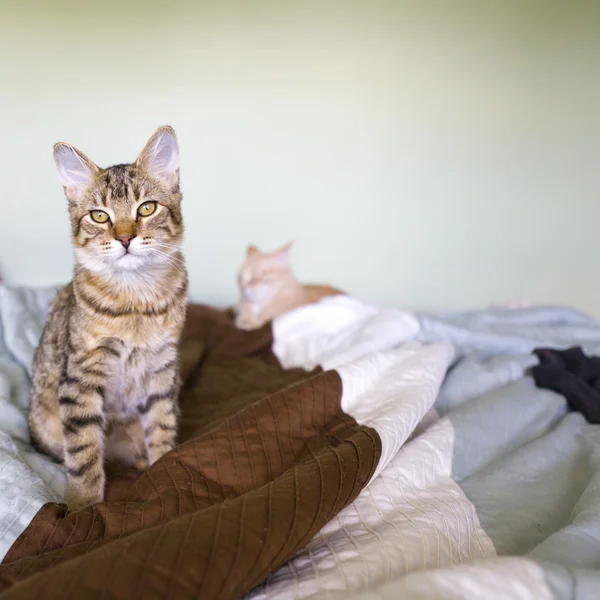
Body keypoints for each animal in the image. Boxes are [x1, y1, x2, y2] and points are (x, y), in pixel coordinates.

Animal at [28, 126, 186, 510]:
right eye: (100, 216)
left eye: (147, 208)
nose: (126, 238)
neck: (136, 302)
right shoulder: (81, 375)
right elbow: (83, 451)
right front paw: (83, 507)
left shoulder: (163, 368)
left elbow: (162, 426)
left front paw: (164, 468)